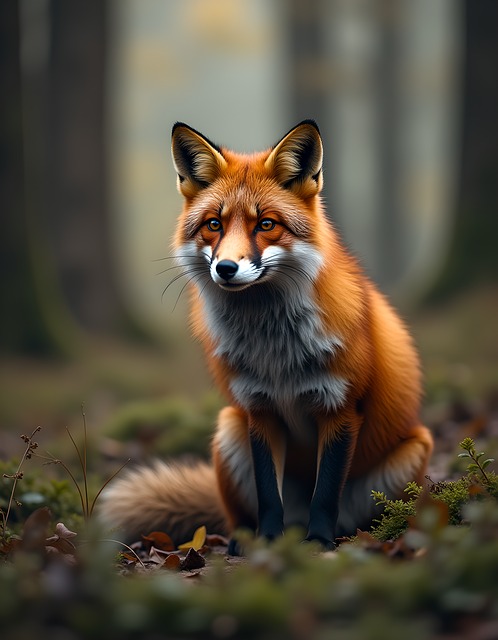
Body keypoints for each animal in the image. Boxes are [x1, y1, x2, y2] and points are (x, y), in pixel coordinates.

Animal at [100, 120, 433, 552]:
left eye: (266, 224)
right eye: (214, 225)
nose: (225, 268)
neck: (275, 352)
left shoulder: (341, 409)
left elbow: (325, 494)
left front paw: (319, 542)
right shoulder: (259, 409)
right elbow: (267, 494)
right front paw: (268, 541)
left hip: (409, 456)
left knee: (354, 515)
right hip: (228, 429)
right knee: (240, 516)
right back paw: (248, 539)